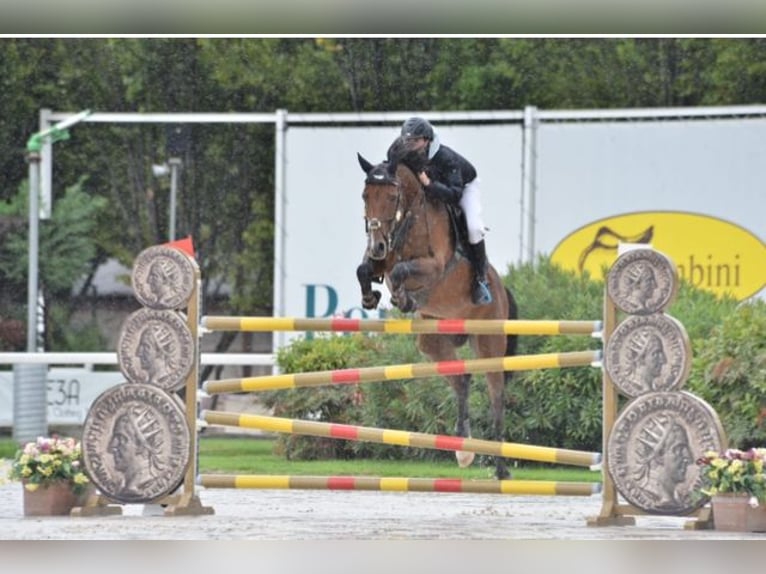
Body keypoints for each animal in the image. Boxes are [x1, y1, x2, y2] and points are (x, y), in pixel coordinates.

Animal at [356, 153, 520, 482]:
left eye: (391, 197)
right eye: (365, 196)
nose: (377, 245)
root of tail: (501, 288)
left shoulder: (432, 266)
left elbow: (400, 271)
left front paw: (402, 298)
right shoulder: (381, 260)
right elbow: (366, 269)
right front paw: (371, 297)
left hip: (489, 343)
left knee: (496, 396)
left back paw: (501, 467)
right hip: (432, 341)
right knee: (462, 379)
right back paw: (463, 449)